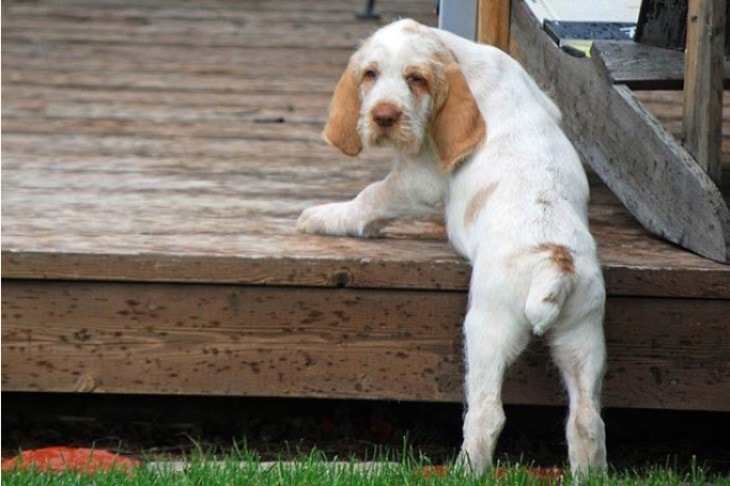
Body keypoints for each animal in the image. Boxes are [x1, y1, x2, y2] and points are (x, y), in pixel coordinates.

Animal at [296, 19, 608, 478]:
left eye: (416, 79)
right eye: (370, 74)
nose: (383, 117)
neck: (463, 59)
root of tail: (556, 261)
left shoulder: (419, 178)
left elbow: (372, 196)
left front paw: (324, 217)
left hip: (487, 330)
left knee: (487, 412)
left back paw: (464, 469)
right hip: (583, 334)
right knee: (587, 419)